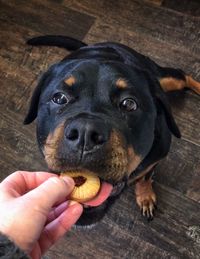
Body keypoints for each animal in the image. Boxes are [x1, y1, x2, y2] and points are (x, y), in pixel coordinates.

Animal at [24, 35, 200, 226]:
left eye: (129, 103)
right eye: (59, 98)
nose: (85, 133)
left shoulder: (155, 159)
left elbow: (145, 178)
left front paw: (145, 196)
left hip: (164, 78)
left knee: (183, 76)